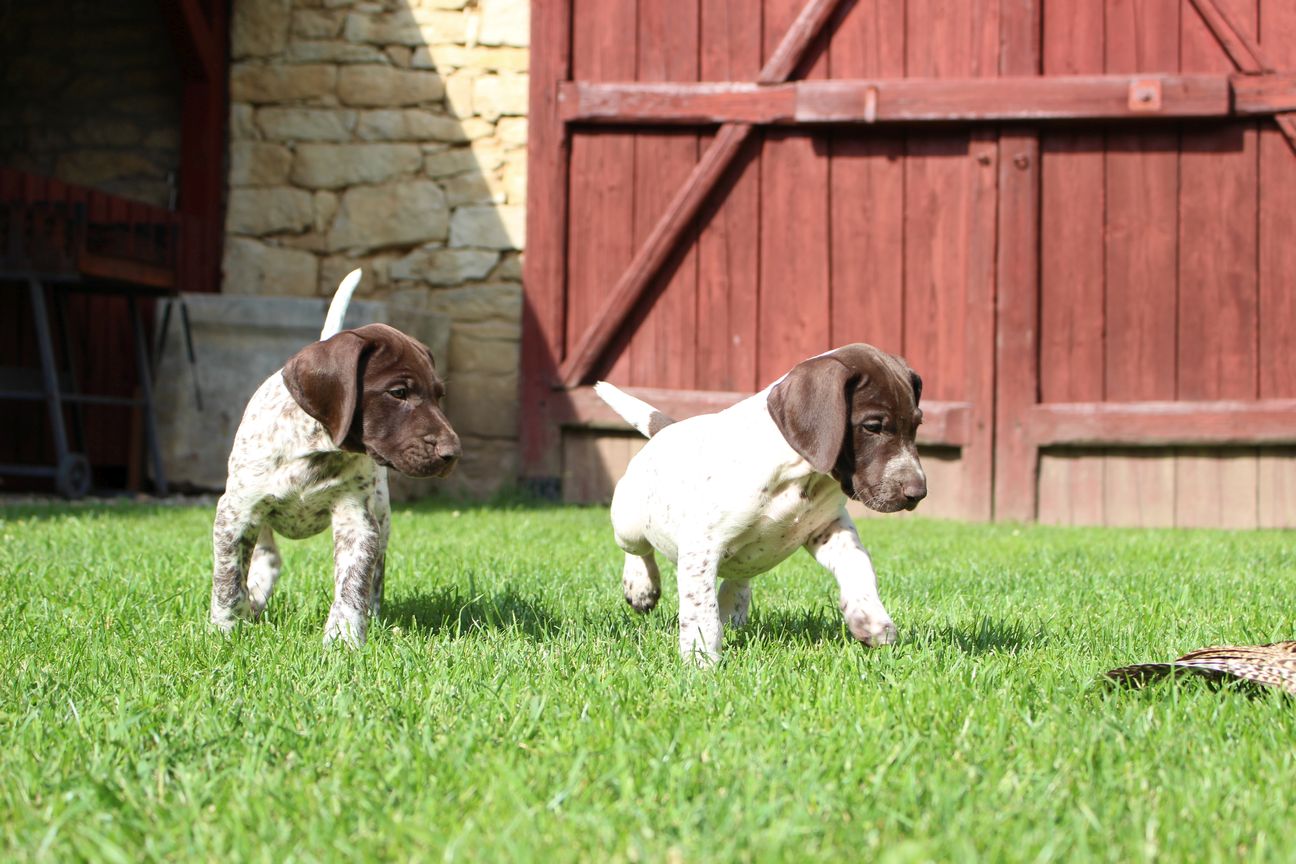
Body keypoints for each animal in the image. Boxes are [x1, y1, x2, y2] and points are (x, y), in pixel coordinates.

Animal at [209, 273, 458, 645]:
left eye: (438, 396)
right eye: (398, 393)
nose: (452, 454)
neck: (315, 447)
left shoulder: (357, 521)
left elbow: (353, 582)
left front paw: (344, 637)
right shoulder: (236, 512)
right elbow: (228, 581)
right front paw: (225, 630)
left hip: (382, 517)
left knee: (375, 575)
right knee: (268, 558)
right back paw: (253, 599)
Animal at [593, 344, 927, 668]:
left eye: (917, 424)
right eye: (872, 426)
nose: (918, 492)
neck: (798, 474)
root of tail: (665, 430)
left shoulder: (829, 528)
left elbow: (858, 565)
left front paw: (869, 617)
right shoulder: (702, 547)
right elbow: (701, 611)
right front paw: (701, 660)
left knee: (738, 575)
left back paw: (733, 603)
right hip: (628, 521)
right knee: (637, 550)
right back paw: (640, 586)